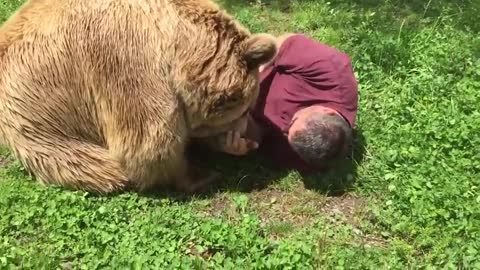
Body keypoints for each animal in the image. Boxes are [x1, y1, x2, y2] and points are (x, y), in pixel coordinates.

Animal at [0, 0, 278, 194]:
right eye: (246, 108)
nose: (258, 135)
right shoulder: (126, 58)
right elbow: (148, 142)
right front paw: (199, 176)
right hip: (39, 121)